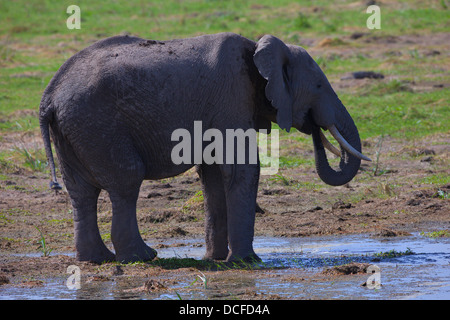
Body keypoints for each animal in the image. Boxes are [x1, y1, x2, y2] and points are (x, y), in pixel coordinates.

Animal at [39, 31, 370, 264]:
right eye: (318, 87)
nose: (314, 124)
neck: (258, 51)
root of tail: (49, 96)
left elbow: (212, 175)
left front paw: (216, 259)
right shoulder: (232, 96)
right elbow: (243, 168)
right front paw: (248, 261)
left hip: (74, 130)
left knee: (81, 192)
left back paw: (97, 260)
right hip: (98, 125)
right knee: (126, 181)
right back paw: (141, 257)